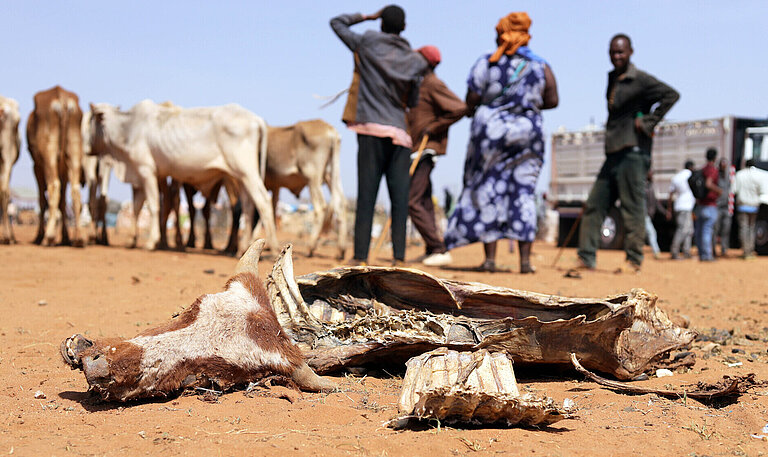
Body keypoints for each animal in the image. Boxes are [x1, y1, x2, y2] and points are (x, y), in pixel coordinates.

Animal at [27, 87, 86, 248]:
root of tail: (62, 99)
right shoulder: (64, 171)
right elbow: (63, 203)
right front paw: (65, 237)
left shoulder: (37, 167)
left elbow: (42, 201)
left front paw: (39, 236)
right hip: (74, 151)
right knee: (75, 190)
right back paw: (78, 238)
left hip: (49, 154)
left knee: (53, 186)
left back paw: (49, 237)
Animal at [88, 99, 280, 253]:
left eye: (91, 119)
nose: (87, 149)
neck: (128, 128)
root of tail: (256, 119)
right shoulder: (141, 177)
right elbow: (136, 208)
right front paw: (131, 241)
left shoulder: (146, 171)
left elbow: (153, 206)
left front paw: (151, 242)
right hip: (240, 177)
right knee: (248, 206)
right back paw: (243, 247)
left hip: (246, 171)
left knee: (263, 201)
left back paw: (273, 246)